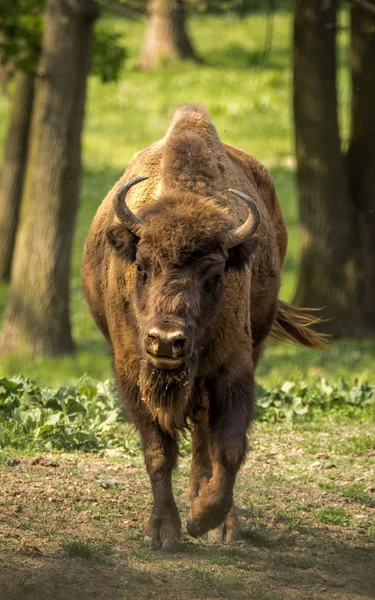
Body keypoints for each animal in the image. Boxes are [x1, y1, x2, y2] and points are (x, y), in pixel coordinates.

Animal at [83, 105, 326, 552]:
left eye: (214, 275)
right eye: (142, 267)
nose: (166, 341)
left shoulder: (233, 369)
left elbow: (227, 447)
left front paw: (207, 520)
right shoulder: (132, 372)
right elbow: (158, 451)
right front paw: (163, 530)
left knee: (203, 436)